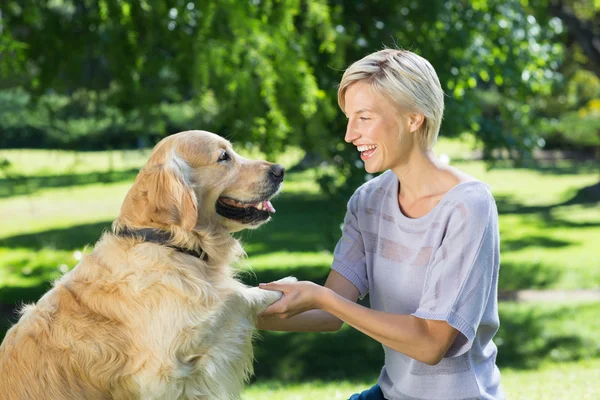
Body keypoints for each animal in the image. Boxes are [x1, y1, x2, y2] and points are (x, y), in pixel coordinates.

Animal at [0, 130, 296, 398]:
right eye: (224, 157)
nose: (280, 170)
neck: (167, 243)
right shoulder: (162, 372)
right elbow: (237, 296)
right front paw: (285, 285)